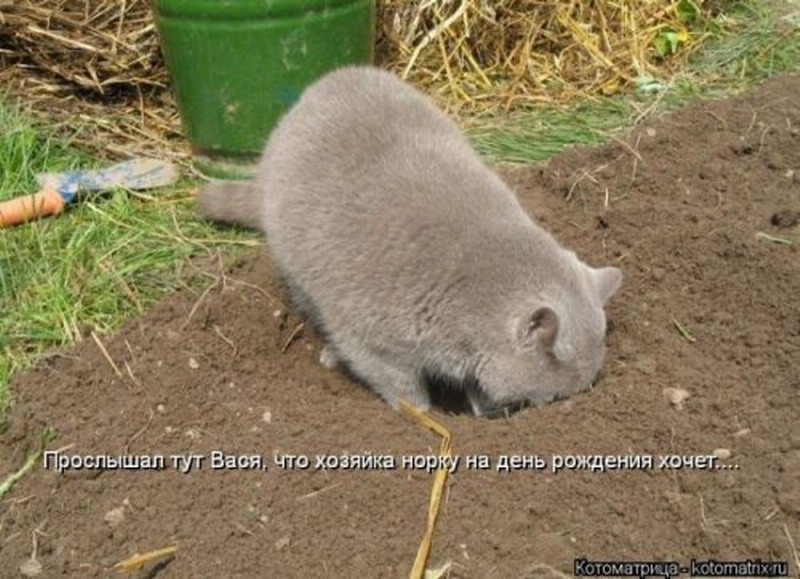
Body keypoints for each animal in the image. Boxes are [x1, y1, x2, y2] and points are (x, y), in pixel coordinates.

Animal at [197, 65, 620, 414]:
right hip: (296, 270)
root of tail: (330, 80)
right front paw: (424, 415)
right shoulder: (373, 346)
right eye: (554, 397)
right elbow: (403, 391)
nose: (570, 405)